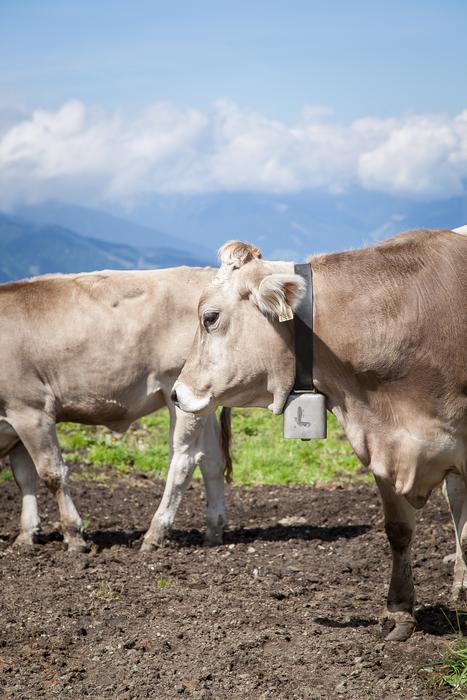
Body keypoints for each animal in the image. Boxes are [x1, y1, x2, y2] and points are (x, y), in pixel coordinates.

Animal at [0, 267, 230, 553]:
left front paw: (74, 536)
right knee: (212, 459)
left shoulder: (32, 410)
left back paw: (155, 533)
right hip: (200, 403)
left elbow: (51, 473)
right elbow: (24, 477)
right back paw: (214, 530)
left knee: (183, 460)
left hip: (177, 391)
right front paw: (25, 536)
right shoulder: (15, 419)